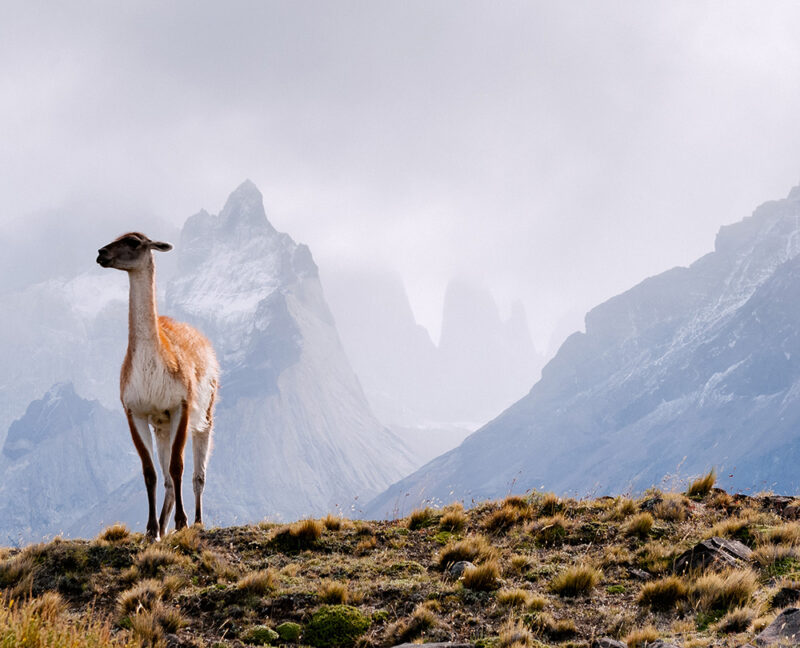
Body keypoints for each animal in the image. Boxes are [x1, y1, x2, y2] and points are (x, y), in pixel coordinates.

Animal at [97, 232, 219, 540]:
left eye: (133, 241)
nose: (101, 253)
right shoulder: (136, 411)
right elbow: (150, 473)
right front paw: (152, 529)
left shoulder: (180, 405)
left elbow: (178, 466)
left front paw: (182, 522)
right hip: (161, 427)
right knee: (166, 481)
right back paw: (163, 525)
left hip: (205, 416)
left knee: (198, 475)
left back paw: (197, 521)